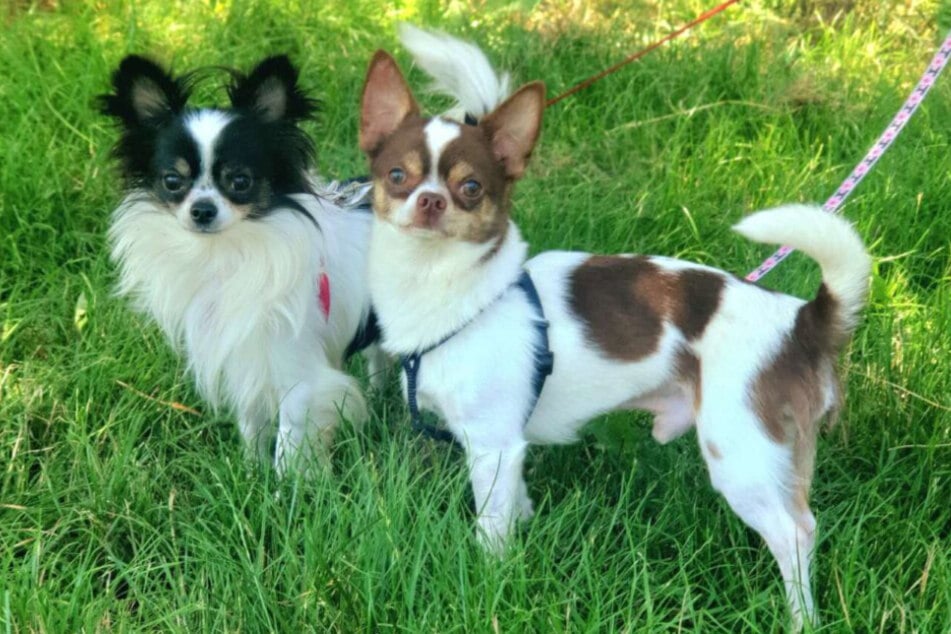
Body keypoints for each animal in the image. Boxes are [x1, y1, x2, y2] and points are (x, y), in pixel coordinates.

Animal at [102, 55, 382, 474]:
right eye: (172, 181)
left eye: (240, 181)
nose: (202, 210)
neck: (224, 254)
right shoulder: (243, 355)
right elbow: (252, 421)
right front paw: (249, 470)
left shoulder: (298, 374)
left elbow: (289, 439)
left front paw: (287, 486)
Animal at [356, 27, 872, 624]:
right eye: (397, 176)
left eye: (471, 188)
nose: (431, 200)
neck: (456, 293)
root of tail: (802, 319)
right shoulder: (510, 449)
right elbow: (515, 506)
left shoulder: (491, 446)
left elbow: (490, 530)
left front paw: (489, 587)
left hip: (743, 452)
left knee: (795, 534)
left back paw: (801, 618)